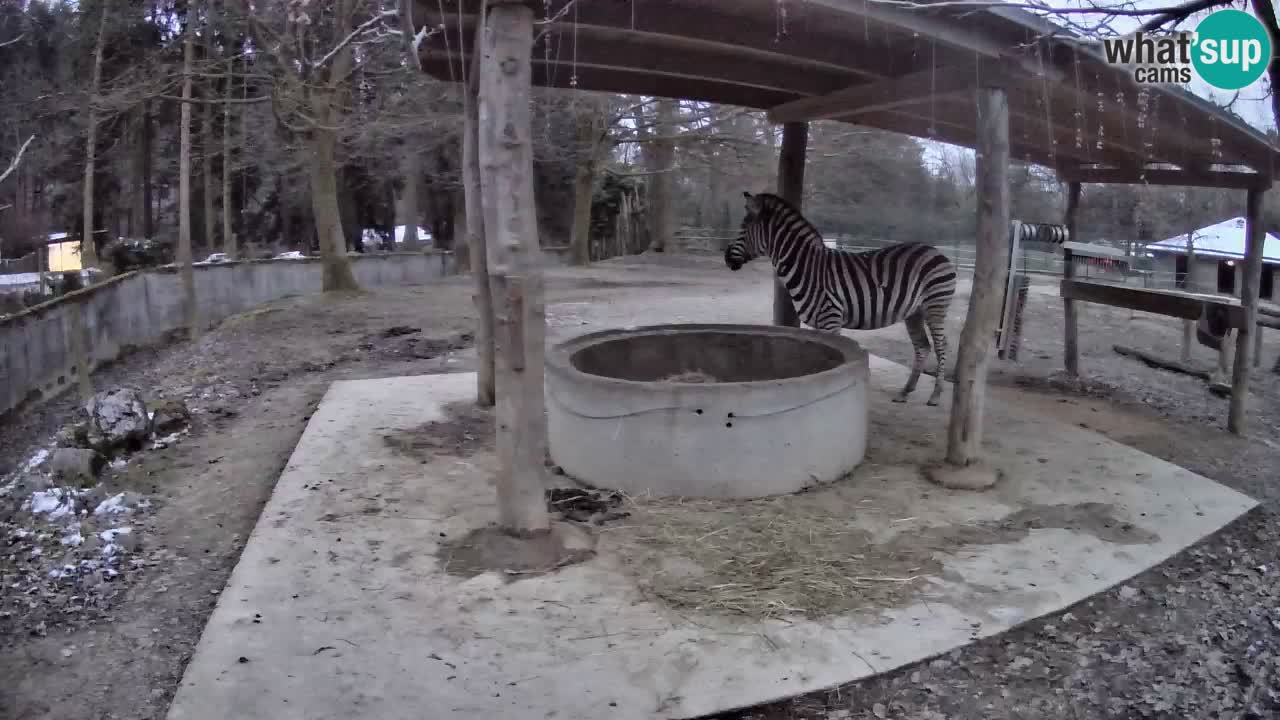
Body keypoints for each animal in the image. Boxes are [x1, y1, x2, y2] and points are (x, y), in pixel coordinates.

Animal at [727, 190, 957, 404]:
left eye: (743, 229)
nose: (727, 258)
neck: (807, 268)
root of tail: (936, 251)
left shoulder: (831, 318)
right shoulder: (819, 324)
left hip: (935, 305)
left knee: (941, 345)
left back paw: (935, 395)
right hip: (914, 312)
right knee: (922, 346)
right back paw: (905, 391)